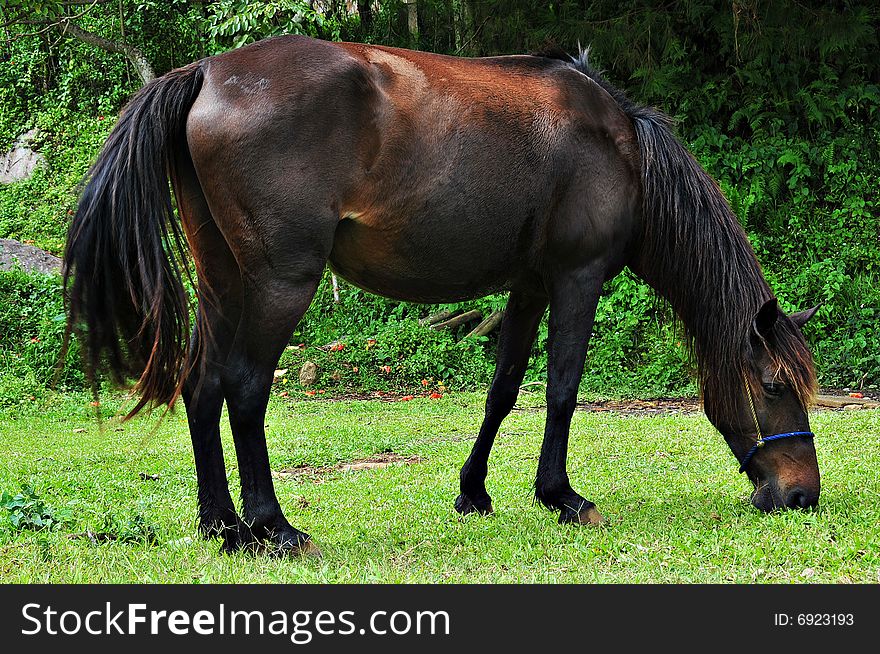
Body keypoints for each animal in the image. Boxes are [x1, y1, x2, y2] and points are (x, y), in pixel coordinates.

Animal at [65, 36, 820, 556]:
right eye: (774, 384)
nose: (801, 494)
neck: (621, 148)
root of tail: (207, 73)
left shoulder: (529, 286)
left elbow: (504, 389)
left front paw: (473, 491)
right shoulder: (576, 280)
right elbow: (563, 388)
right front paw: (563, 496)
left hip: (223, 280)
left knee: (202, 388)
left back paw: (223, 526)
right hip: (280, 282)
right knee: (246, 390)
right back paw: (274, 528)